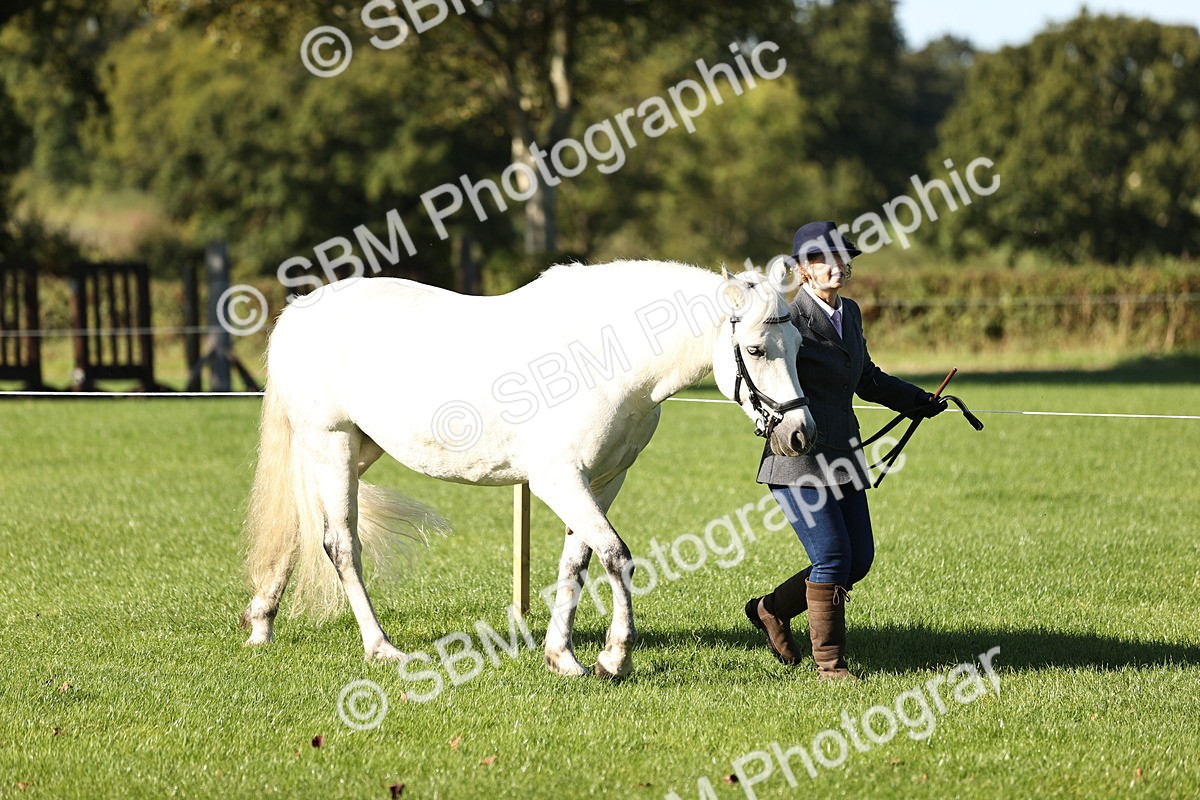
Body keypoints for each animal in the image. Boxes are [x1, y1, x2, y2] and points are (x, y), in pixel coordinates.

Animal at [240, 259, 816, 678]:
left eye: (799, 348)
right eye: (755, 349)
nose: (799, 433)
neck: (602, 356)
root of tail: (301, 312)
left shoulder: (603, 481)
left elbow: (576, 563)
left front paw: (562, 657)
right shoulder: (557, 480)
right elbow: (617, 556)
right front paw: (615, 657)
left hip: (355, 450)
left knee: (297, 530)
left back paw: (261, 623)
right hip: (331, 444)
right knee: (341, 544)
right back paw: (381, 648)